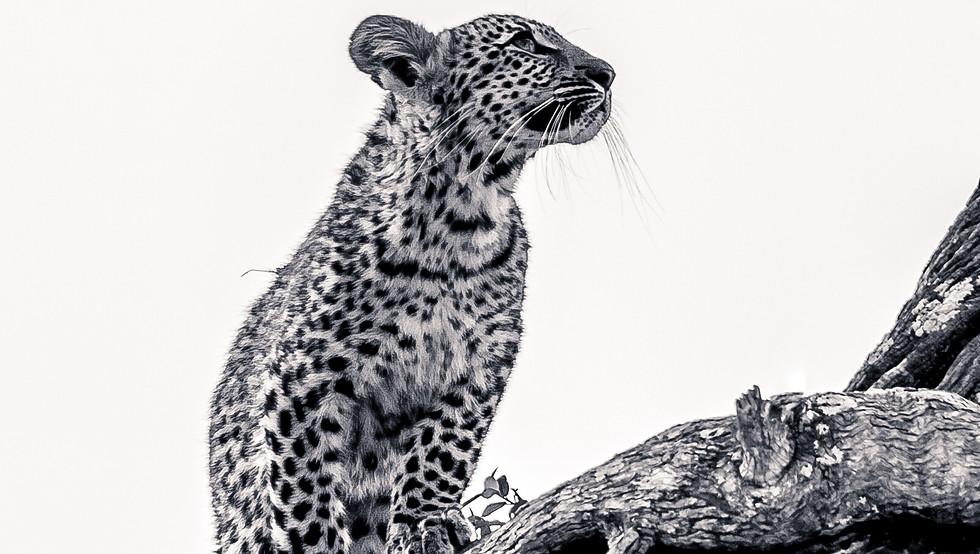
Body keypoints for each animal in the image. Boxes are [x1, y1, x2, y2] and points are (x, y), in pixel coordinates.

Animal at [209, 13, 615, 554]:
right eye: (526, 43)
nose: (608, 74)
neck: (463, 213)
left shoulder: (482, 364)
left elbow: (443, 450)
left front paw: (427, 521)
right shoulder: (304, 377)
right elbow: (306, 487)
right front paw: (320, 541)